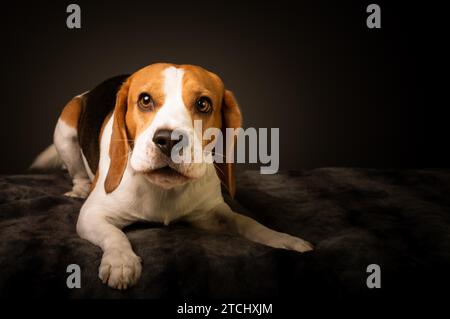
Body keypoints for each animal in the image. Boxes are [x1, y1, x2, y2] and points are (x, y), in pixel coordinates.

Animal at [32, 63, 312, 290]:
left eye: (203, 104)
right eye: (145, 100)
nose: (168, 140)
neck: (164, 189)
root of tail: (88, 93)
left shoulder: (212, 213)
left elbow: (247, 222)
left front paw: (282, 239)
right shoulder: (92, 215)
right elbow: (115, 235)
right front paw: (121, 261)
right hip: (65, 128)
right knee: (77, 171)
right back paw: (79, 188)